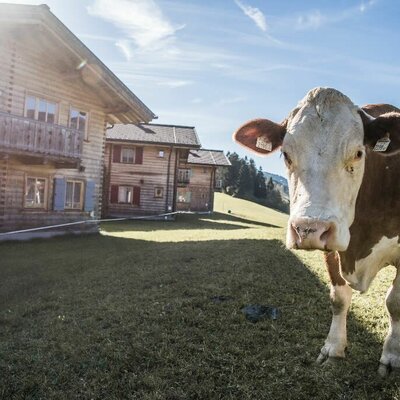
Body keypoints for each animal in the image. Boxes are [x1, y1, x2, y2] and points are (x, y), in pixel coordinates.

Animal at [234, 86, 400, 376]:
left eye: (359, 153)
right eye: (286, 155)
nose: (308, 229)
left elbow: (395, 303)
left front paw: (391, 357)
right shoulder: (332, 249)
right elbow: (338, 298)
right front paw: (333, 348)